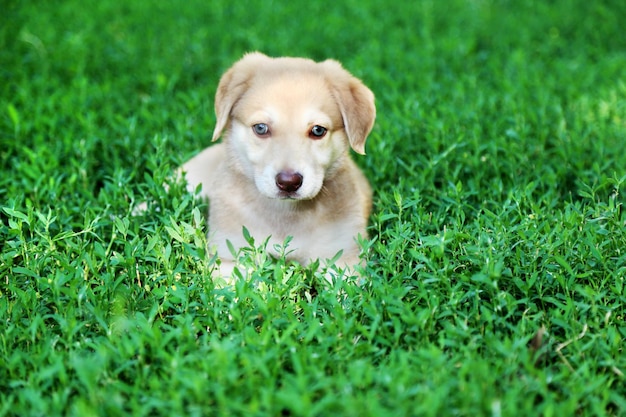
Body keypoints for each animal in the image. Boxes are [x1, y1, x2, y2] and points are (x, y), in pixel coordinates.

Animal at [178, 53, 372, 278]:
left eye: (318, 130)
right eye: (261, 128)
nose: (289, 182)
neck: (285, 215)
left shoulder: (341, 259)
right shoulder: (229, 256)